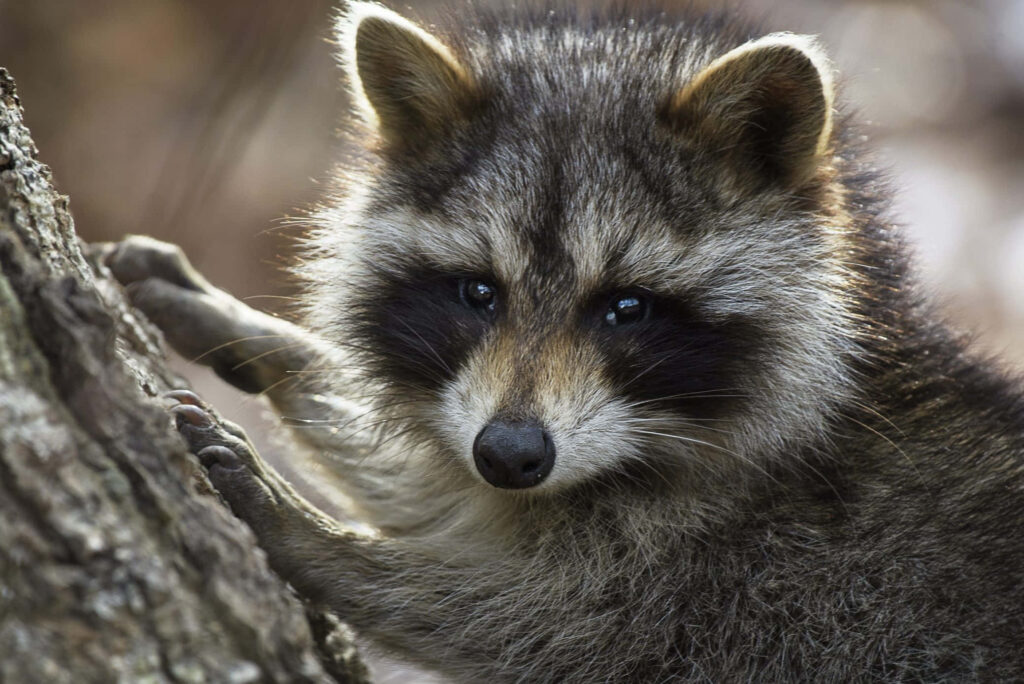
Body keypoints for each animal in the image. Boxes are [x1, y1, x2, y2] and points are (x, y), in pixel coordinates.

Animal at [105, 1, 1024, 681]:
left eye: (626, 307)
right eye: (479, 293)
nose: (510, 454)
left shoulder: (756, 575)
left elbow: (536, 619)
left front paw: (317, 539)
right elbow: (443, 495)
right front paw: (262, 339)